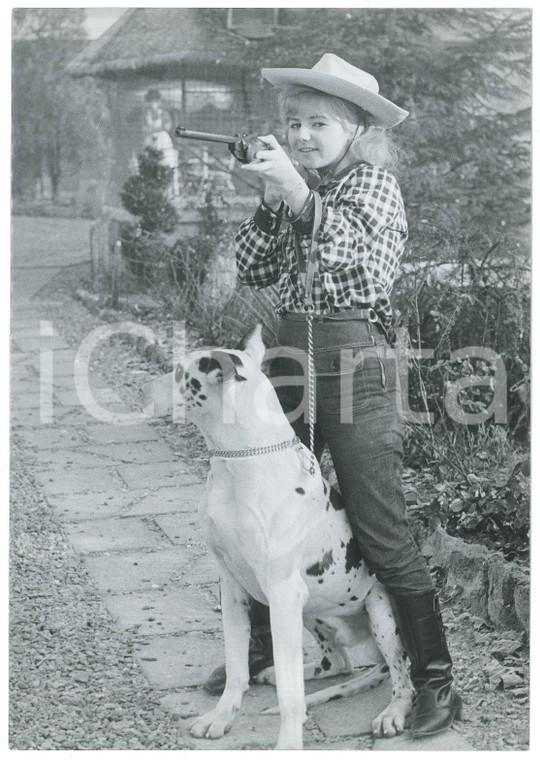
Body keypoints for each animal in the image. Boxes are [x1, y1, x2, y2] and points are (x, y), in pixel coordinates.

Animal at [143, 326, 414, 748]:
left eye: (178, 373)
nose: (143, 388)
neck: (238, 462)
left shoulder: (283, 592)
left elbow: (291, 694)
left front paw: (288, 742)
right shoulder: (233, 586)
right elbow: (237, 665)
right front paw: (222, 716)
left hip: (381, 614)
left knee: (403, 677)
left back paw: (394, 711)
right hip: (312, 612)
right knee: (339, 662)